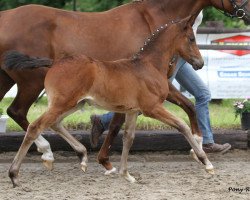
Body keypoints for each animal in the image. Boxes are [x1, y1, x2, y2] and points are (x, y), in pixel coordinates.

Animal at [0, 0, 250, 170]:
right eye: (191, 38)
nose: (246, 13)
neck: (152, 17)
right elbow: (118, 122)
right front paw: (105, 160)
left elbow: (188, 105)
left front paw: (198, 146)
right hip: (32, 82)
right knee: (18, 111)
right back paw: (47, 152)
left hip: (9, 78)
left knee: (18, 112)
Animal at [5, 17, 213, 188]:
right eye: (192, 39)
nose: (200, 63)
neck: (149, 66)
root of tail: (54, 63)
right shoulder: (152, 108)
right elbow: (182, 126)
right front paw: (206, 162)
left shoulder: (132, 111)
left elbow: (128, 138)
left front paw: (126, 174)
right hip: (62, 104)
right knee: (35, 126)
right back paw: (14, 174)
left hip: (74, 104)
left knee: (54, 123)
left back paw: (82, 156)